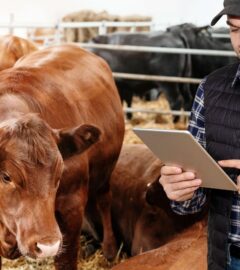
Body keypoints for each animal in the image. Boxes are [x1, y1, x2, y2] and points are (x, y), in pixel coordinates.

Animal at [0, 44, 124, 270]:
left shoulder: (71, 205)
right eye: (6, 176)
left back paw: (110, 251)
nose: (47, 245)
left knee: (104, 200)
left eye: (59, 175)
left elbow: (66, 259)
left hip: (105, 171)